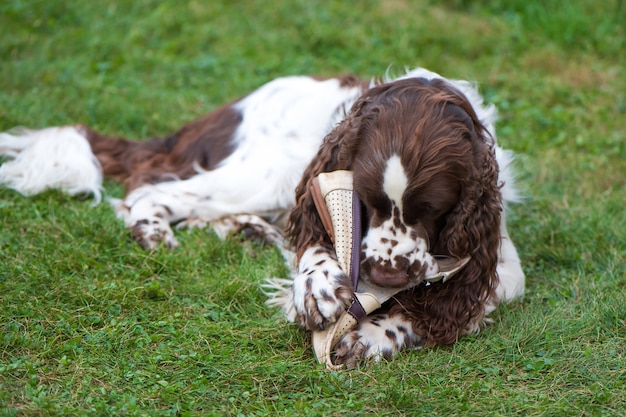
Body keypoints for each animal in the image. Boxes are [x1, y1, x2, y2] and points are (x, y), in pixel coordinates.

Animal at [0, 67, 520, 364]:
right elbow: (315, 244)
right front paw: (317, 289)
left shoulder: (499, 263)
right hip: (265, 172)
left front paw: (376, 334)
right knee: (150, 188)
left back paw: (248, 229)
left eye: (433, 210)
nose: (385, 278)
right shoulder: (318, 185)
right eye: (365, 201)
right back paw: (154, 231)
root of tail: (227, 110)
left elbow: (452, 300)